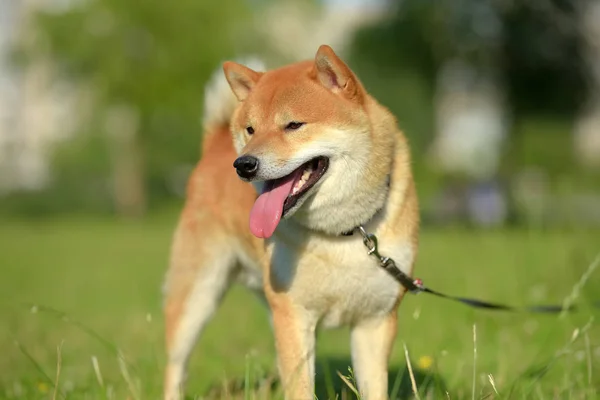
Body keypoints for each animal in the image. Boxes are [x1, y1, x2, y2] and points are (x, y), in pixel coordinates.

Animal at [162, 45, 420, 398]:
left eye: (294, 125)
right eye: (251, 129)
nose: (243, 164)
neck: (341, 232)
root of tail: (214, 145)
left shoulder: (376, 321)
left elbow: (373, 388)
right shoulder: (293, 314)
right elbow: (299, 388)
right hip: (198, 292)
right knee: (176, 364)